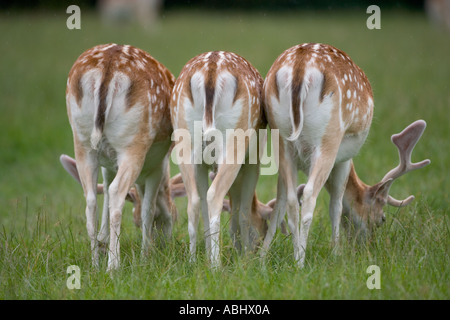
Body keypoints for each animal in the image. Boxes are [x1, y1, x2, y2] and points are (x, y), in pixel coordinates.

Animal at [66, 43, 175, 272]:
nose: (166, 244)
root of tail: (108, 67)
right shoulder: (158, 165)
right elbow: (147, 209)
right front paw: (145, 256)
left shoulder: (108, 163)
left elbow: (105, 188)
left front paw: (102, 241)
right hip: (132, 143)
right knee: (116, 193)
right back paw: (113, 267)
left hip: (82, 142)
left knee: (90, 198)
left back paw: (95, 264)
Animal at [169, 51, 268, 266]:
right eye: (263, 227)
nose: (256, 249)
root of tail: (210, 72)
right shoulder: (253, 161)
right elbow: (244, 211)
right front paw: (245, 258)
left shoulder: (202, 165)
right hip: (234, 143)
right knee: (214, 196)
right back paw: (216, 266)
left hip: (184, 143)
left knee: (194, 200)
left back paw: (193, 261)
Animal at [262, 43, 430, 268]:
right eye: (382, 219)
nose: (368, 247)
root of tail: (300, 67)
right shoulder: (344, 159)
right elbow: (337, 205)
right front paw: (337, 254)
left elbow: (279, 202)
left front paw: (260, 257)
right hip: (329, 138)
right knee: (309, 196)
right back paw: (300, 263)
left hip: (281, 139)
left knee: (290, 201)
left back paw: (294, 257)